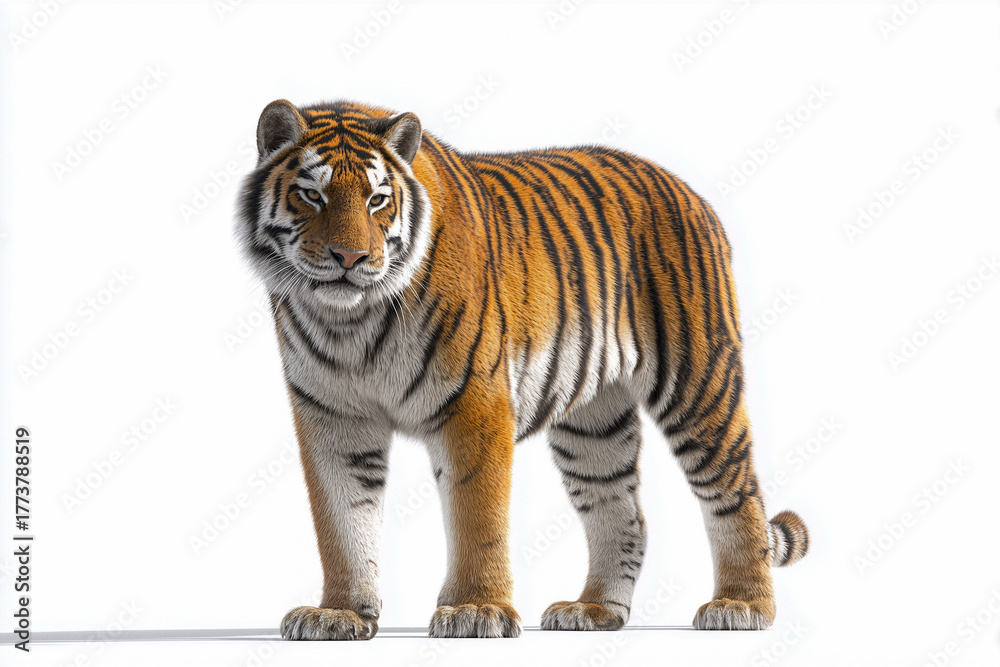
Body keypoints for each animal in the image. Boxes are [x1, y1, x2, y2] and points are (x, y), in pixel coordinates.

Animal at [235, 98, 809, 640]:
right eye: (312, 195)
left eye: (378, 199)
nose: (351, 258)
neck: (349, 322)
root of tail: (690, 191)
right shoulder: (333, 418)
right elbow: (341, 524)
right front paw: (340, 614)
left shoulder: (474, 403)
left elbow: (477, 516)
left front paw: (476, 610)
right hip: (594, 426)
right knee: (623, 515)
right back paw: (594, 610)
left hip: (699, 386)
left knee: (737, 494)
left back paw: (742, 606)